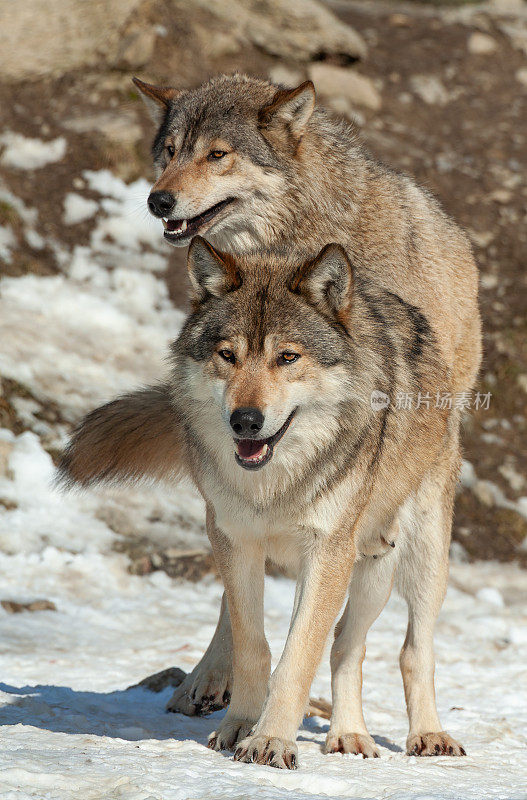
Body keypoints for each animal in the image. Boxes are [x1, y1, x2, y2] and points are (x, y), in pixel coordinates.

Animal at [59, 76, 480, 768]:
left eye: (217, 155)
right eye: (168, 151)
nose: (157, 198)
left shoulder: (326, 552)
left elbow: (300, 653)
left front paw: (273, 738)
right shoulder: (234, 537)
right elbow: (256, 643)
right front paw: (238, 725)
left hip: (410, 555)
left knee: (399, 647)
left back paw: (412, 734)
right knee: (316, 640)